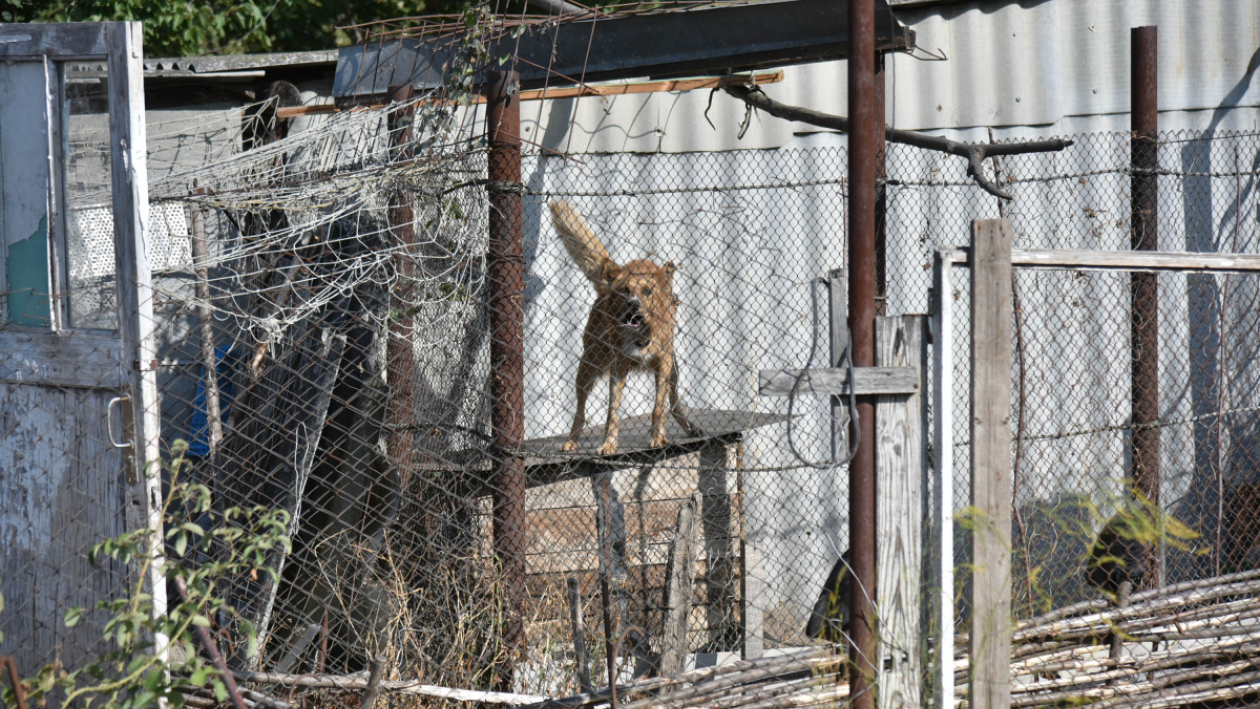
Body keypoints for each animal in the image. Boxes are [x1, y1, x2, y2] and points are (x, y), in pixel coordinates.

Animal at [549, 201, 700, 455]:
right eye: (626, 291)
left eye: (648, 291)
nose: (633, 304)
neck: (641, 335)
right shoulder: (618, 368)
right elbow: (612, 413)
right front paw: (609, 444)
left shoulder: (663, 364)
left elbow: (658, 407)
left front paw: (658, 438)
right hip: (588, 367)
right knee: (580, 411)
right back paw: (571, 441)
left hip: (673, 370)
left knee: (673, 403)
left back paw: (690, 427)